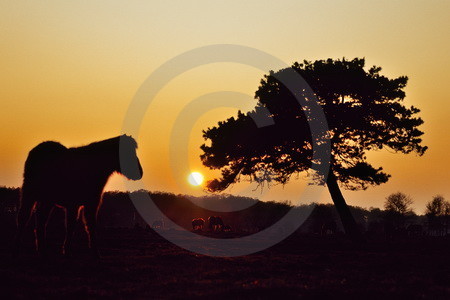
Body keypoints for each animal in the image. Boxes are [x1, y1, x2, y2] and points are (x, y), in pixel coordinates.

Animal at [13, 135, 142, 256]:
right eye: (126, 151)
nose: (140, 172)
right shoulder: (73, 205)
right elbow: (71, 227)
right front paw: (67, 251)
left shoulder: (91, 204)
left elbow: (90, 226)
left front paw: (95, 253)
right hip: (29, 194)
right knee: (24, 217)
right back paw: (18, 249)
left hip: (47, 201)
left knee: (40, 221)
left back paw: (41, 250)